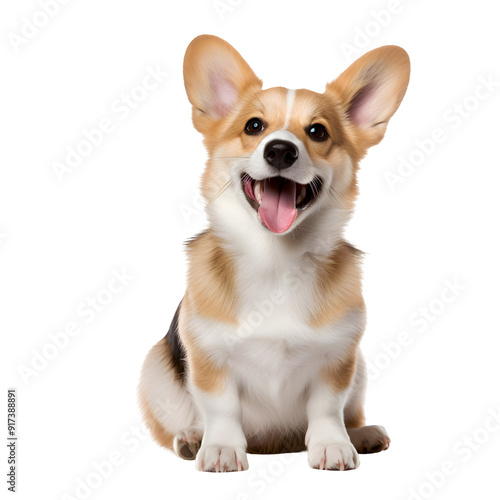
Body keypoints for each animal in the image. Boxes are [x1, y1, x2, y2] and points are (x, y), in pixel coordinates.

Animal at [138, 33, 410, 470]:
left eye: (317, 132)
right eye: (254, 126)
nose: (280, 150)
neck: (276, 258)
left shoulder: (339, 357)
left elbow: (327, 407)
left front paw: (332, 445)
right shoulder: (209, 358)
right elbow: (221, 407)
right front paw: (220, 448)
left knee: (350, 414)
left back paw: (362, 435)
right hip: (155, 370)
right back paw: (193, 438)